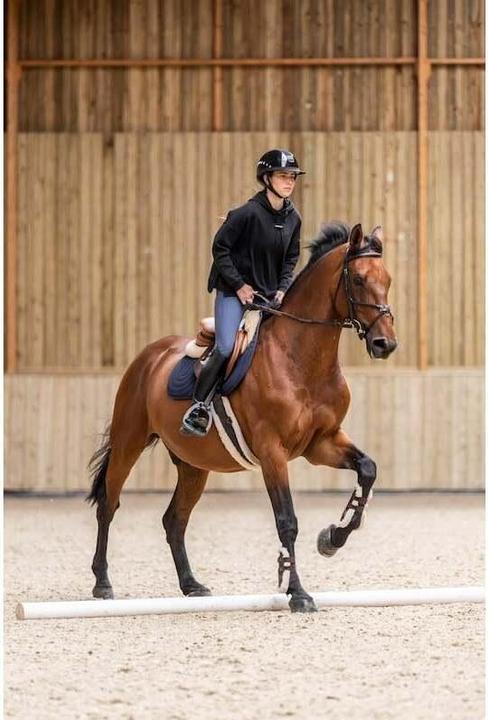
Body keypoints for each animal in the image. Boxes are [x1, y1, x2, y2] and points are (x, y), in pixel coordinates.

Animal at [87, 221, 397, 613]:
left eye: (387, 280)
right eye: (357, 279)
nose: (385, 344)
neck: (301, 359)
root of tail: (149, 355)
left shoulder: (321, 443)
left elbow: (367, 470)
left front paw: (332, 538)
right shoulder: (272, 452)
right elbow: (287, 520)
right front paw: (298, 593)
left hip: (193, 465)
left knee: (174, 520)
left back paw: (191, 585)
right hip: (129, 443)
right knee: (108, 506)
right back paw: (102, 583)